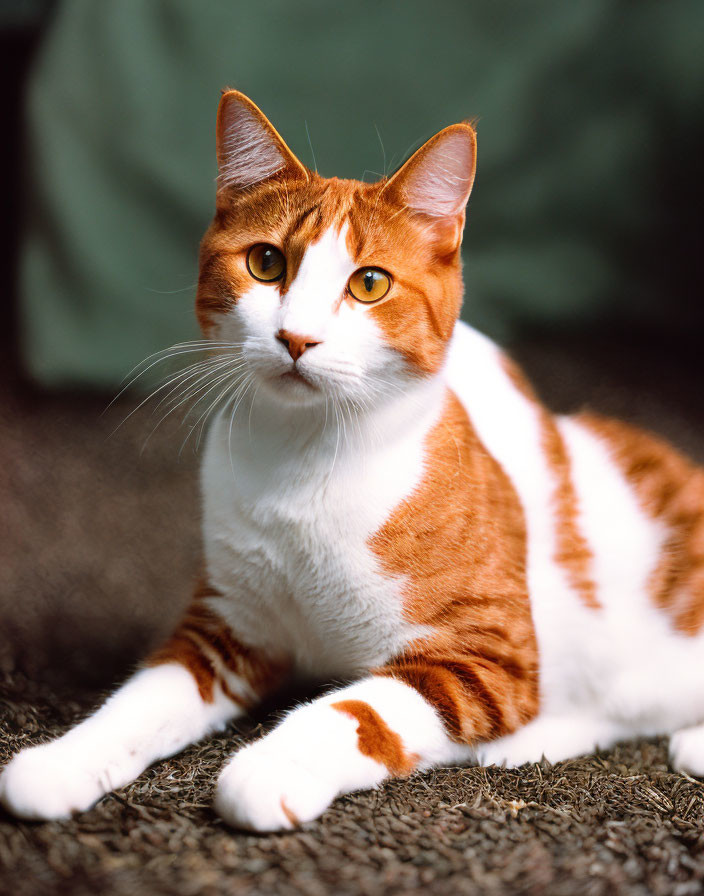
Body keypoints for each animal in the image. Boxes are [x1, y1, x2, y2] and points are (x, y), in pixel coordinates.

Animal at [1, 87, 704, 828]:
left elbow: (357, 711)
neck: (306, 461)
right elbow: (140, 700)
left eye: (369, 284)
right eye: (266, 264)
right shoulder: (225, 626)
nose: (295, 337)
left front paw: (271, 767)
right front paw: (65, 759)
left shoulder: (489, 658)